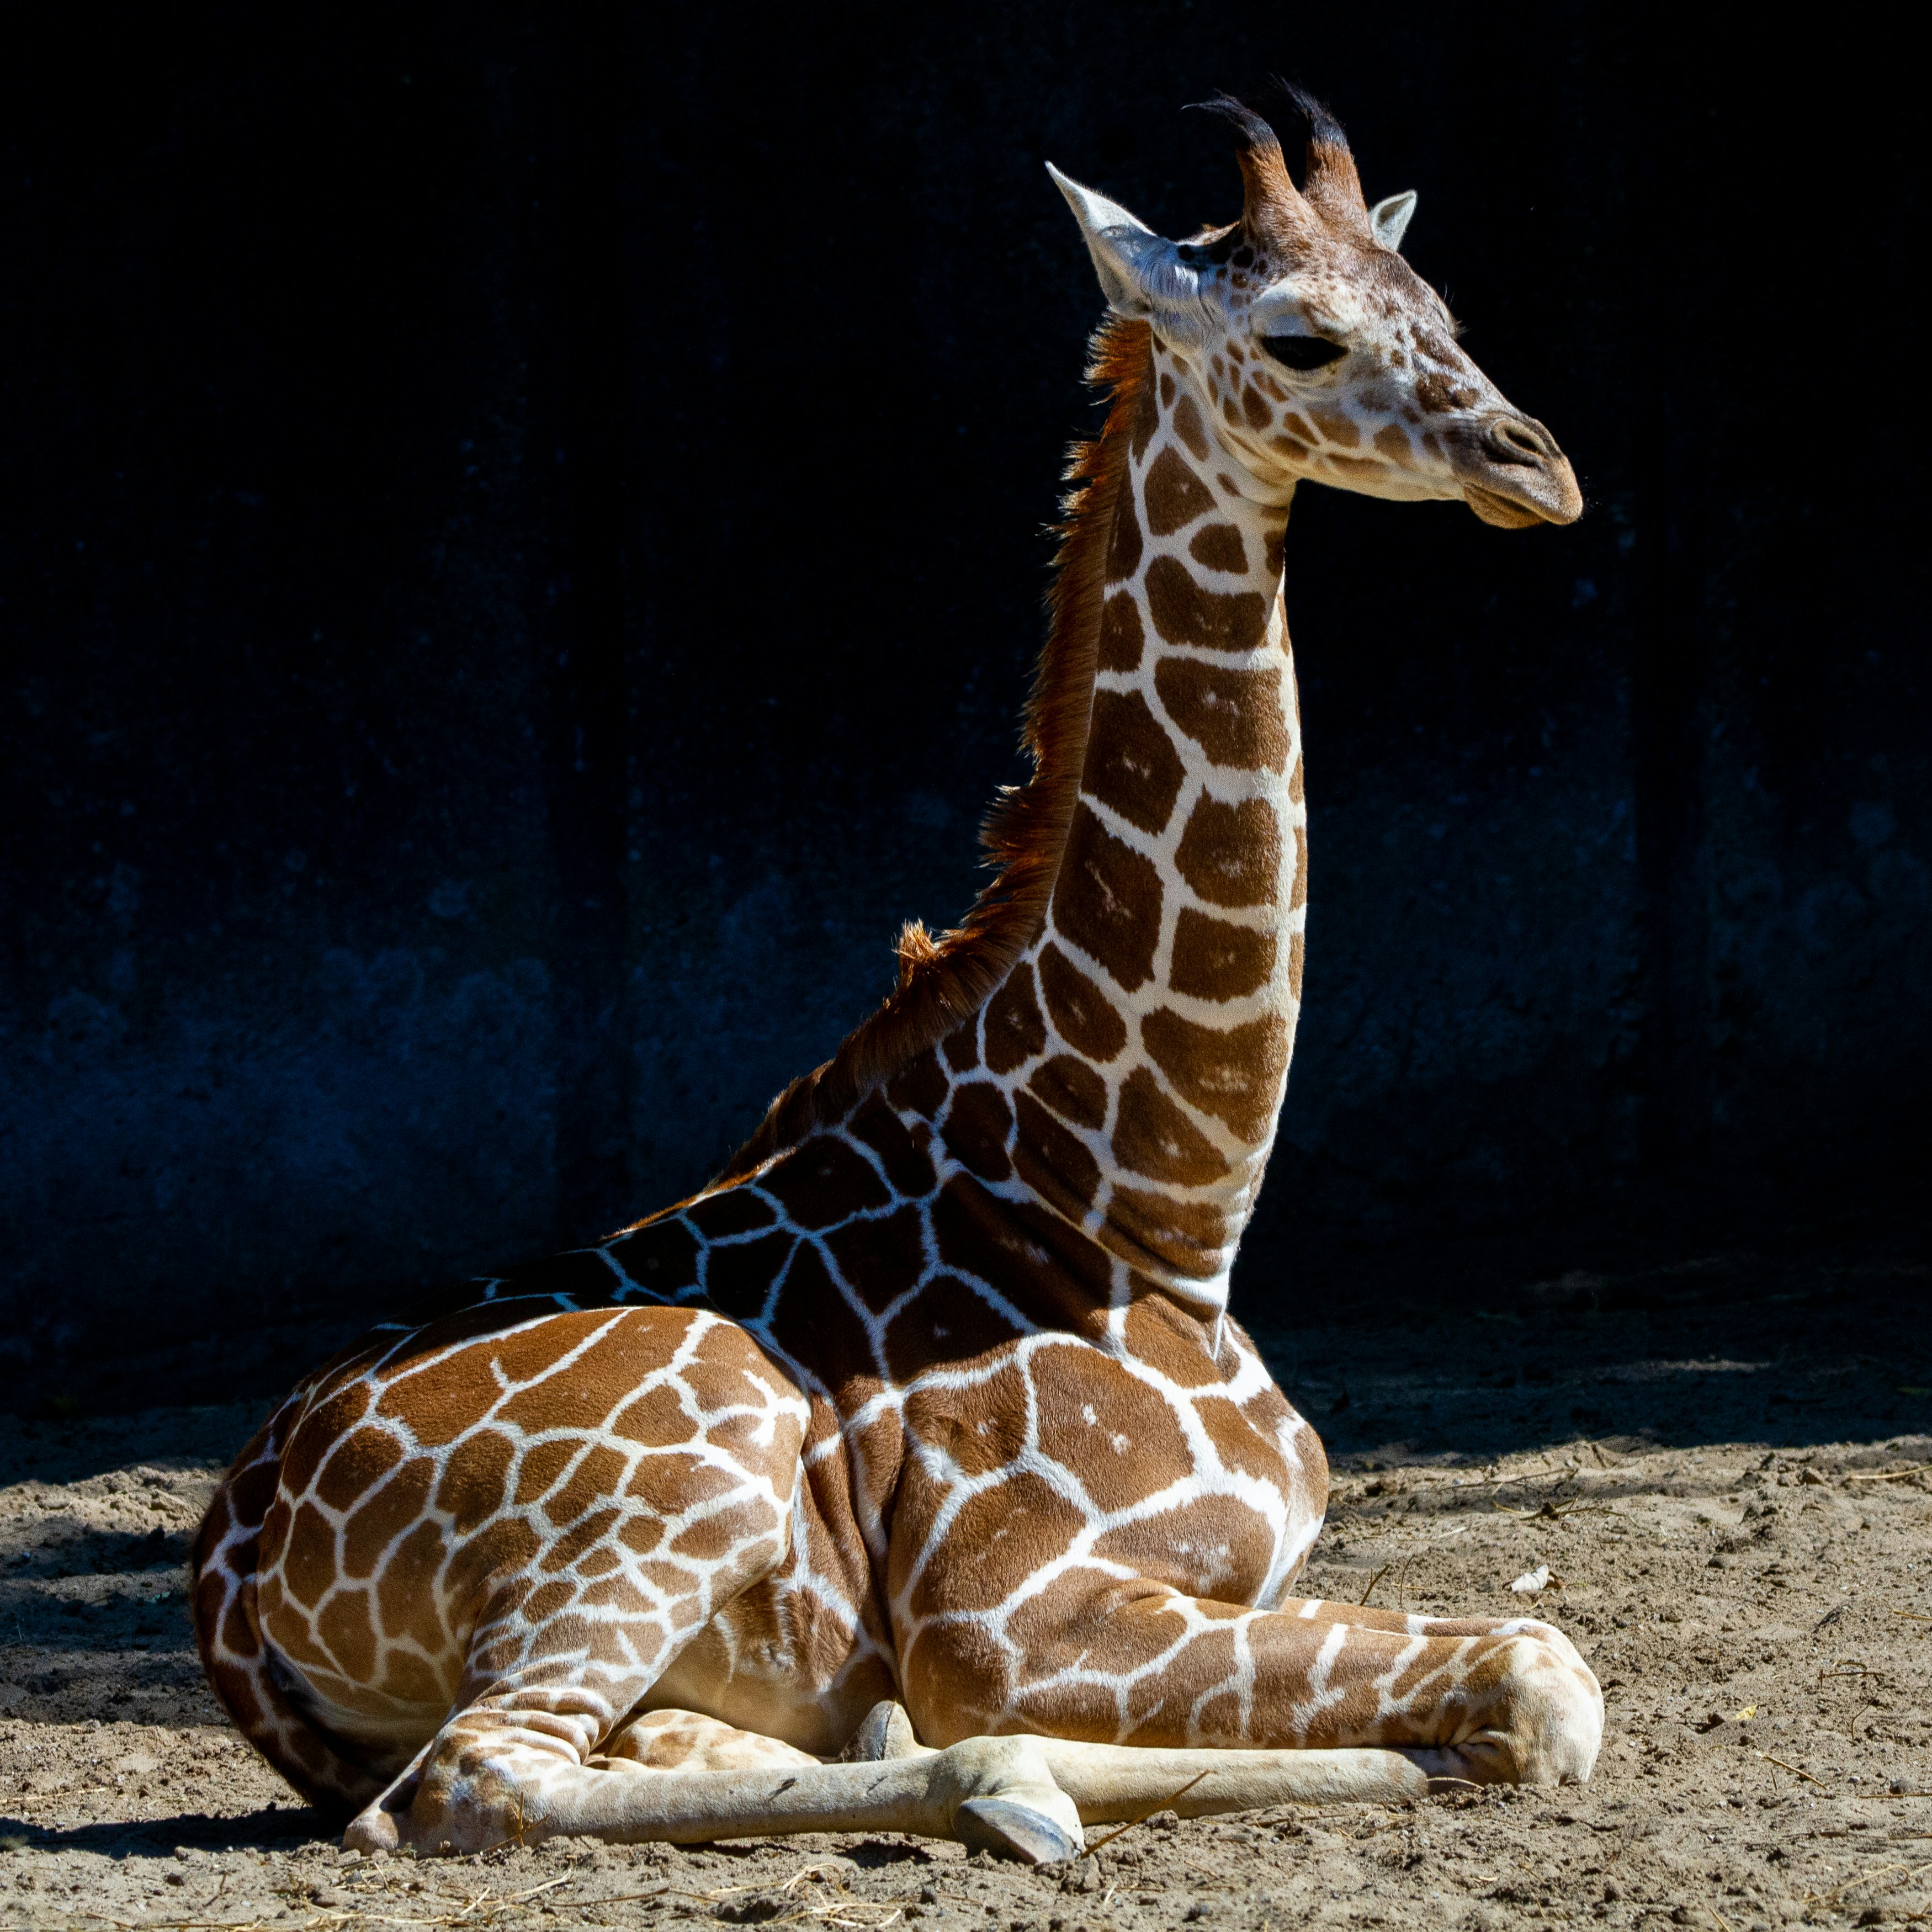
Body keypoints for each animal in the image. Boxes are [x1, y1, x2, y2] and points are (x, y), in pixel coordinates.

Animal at [192, 91, 1595, 1863]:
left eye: (1442, 310)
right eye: (1298, 334)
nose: (1537, 465)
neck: (1156, 1207)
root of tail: (227, 1575)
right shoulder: (1007, 1610)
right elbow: (1547, 1675)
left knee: (603, 1756)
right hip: (692, 1460)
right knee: (472, 1779)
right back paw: (1015, 1786)